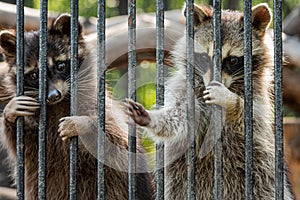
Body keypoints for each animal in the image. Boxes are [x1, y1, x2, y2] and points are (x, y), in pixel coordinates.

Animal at [0, 14, 154, 200]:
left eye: (60, 65)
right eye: (34, 75)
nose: (53, 96)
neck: (59, 103)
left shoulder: (102, 106)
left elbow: (119, 143)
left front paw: (84, 124)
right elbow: (23, 148)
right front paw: (9, 113)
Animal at [125, 3, 294, 200]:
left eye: (233, 60)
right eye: (205, 57)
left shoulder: (256, 100)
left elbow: (248, 120)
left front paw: (230, 101)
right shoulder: (187, 90)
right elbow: (179, 119)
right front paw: (151, 118)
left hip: (263, 177)